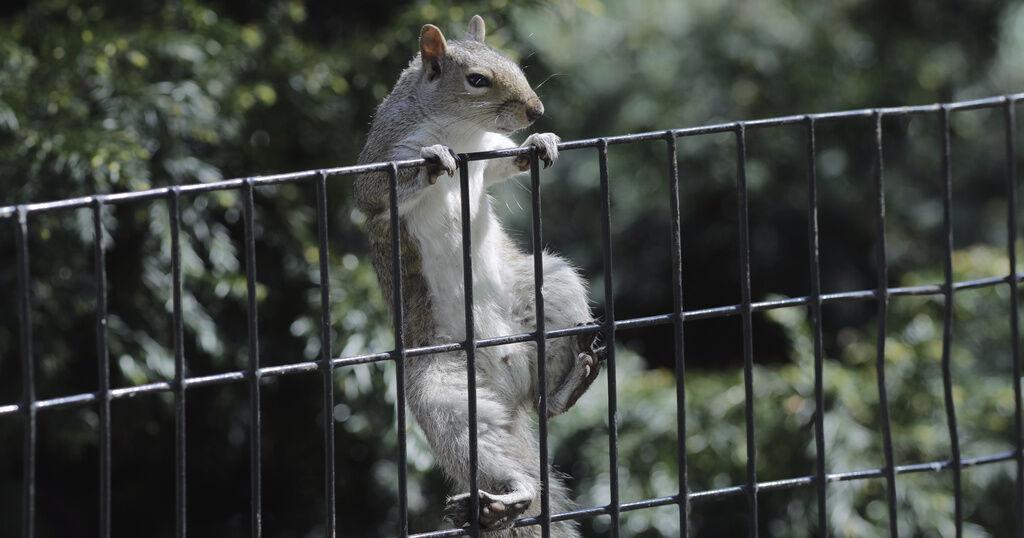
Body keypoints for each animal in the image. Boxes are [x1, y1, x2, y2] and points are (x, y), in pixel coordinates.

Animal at [355, 16, 604, 536]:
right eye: (476, 80)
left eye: (514, 64)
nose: (536, 111)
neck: (464, 132)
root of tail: (507, 389)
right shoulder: (381, 162)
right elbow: (376, 192)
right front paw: (433, 159)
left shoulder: (486, 158)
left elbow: (505, 162)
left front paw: (538, 143)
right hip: (447, 396)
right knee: (493, 451)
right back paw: (503, 502)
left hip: (549, 288)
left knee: (545, 402)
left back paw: (568, 385)